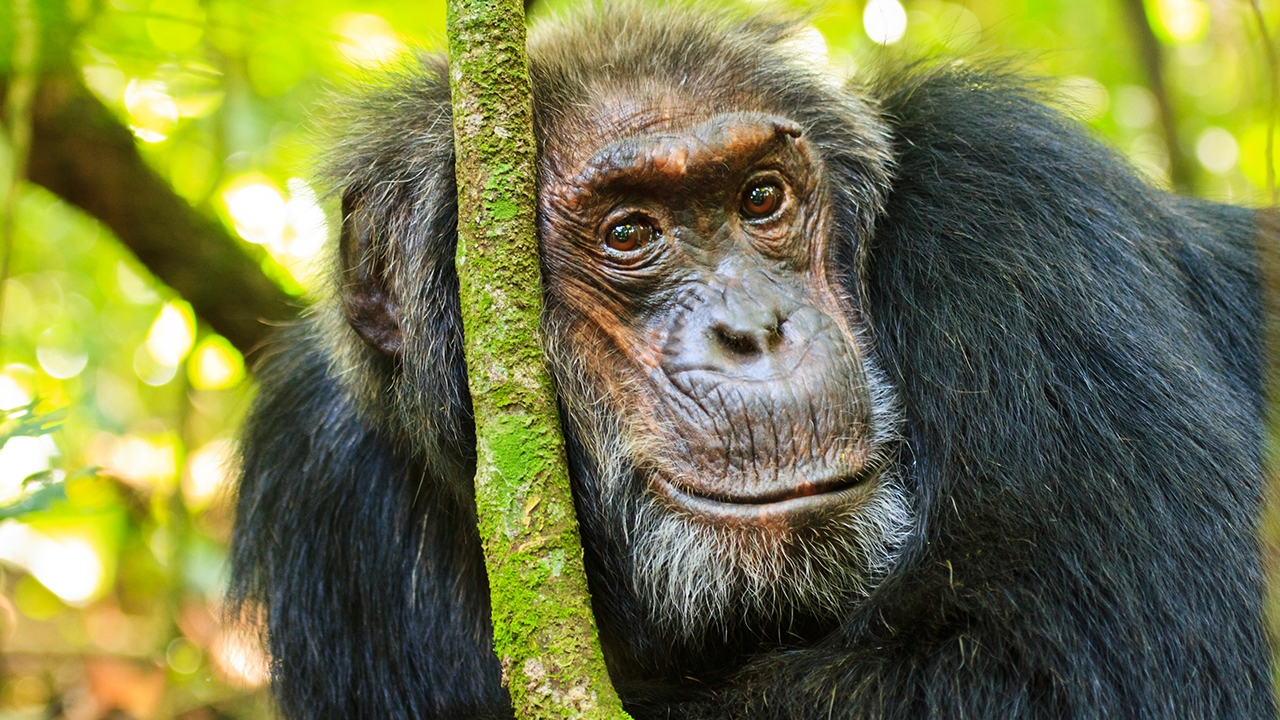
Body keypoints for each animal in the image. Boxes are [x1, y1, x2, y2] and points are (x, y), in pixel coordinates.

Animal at [229, 3, 1276, 718]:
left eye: (761, 198)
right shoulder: (325, 483)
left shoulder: (1013, 211)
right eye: (629, 232)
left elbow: (1071, 669)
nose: (755, 328)